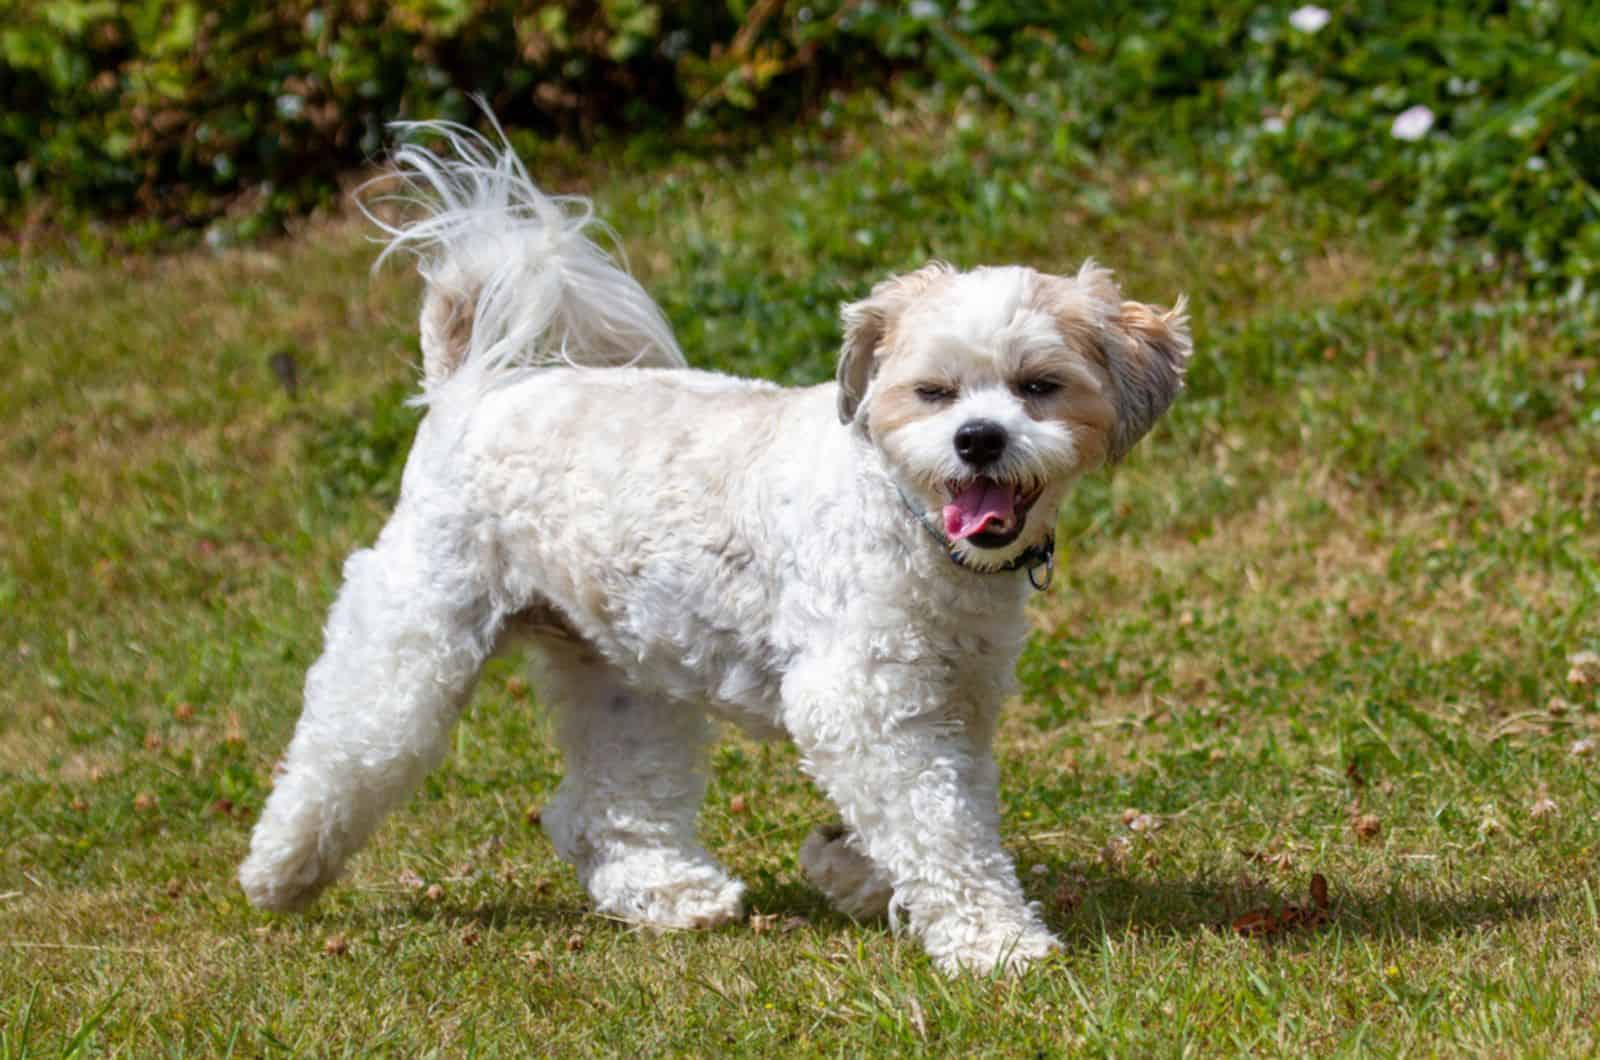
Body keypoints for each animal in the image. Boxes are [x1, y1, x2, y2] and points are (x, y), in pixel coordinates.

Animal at [236, 120, 1190, 973]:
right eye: (934, 392)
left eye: (1039, 386)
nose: (980, 439)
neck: (902, 515)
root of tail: (468, 388)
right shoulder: (863, 701)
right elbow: (941, 828)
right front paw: (997, 941)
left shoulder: (953, 701)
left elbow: (941, 808)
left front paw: (847, 866)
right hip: (414, 636)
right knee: (346, 750)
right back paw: (279, 873)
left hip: (624, 675)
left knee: (596, 809)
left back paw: (671, 893)